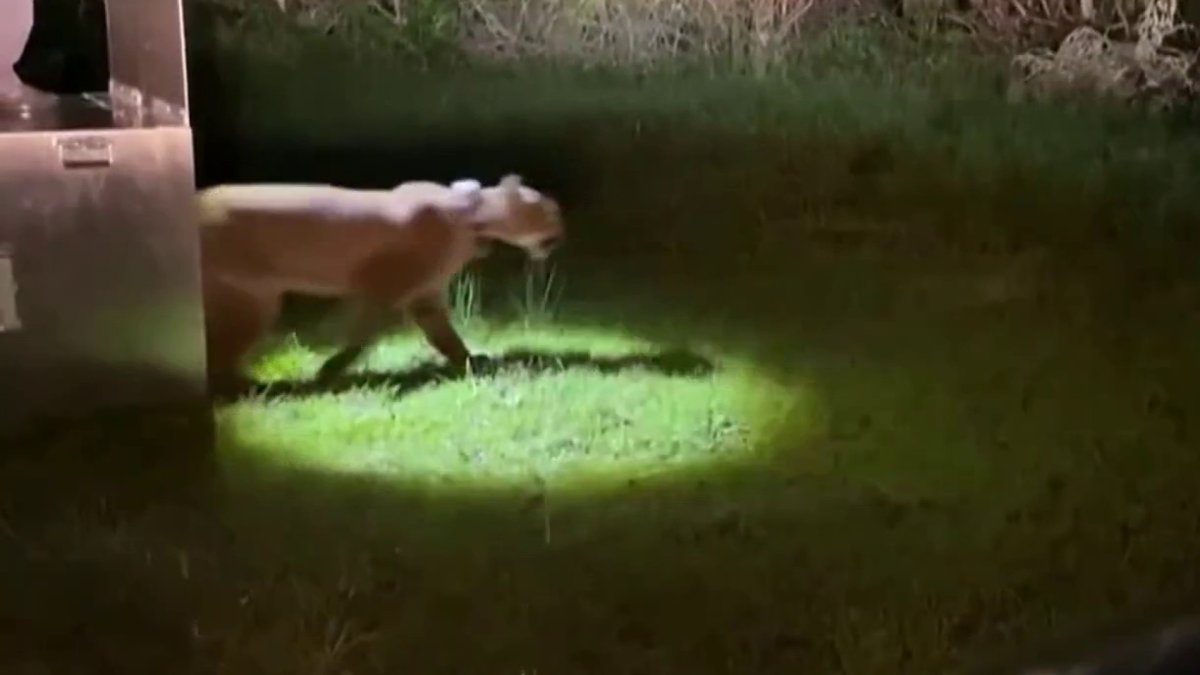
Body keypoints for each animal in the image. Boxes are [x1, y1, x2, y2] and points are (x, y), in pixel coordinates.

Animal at [197, 174, 564, 396]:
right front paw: (329, 370)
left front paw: (473, 364)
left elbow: (447, 339)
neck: (471, 215)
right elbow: (362, 335)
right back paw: (243, 388)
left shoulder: (424, 298)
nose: (564, 230)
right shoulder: (386, 291)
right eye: (551, 211)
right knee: (217, 352)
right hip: (251, 308)